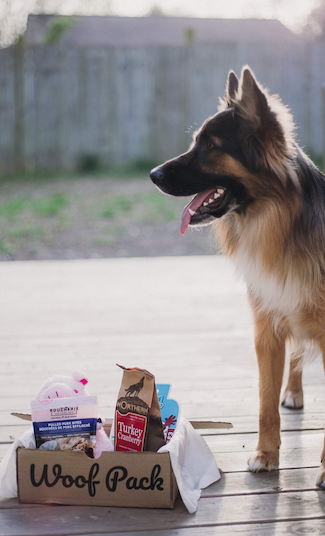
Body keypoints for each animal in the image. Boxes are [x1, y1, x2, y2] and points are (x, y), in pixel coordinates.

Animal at [150, 67, 325, 486]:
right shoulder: (267, 327)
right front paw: (266, 455)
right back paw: (293, 391)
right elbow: (265, 403)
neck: (279, 223)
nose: (152, 174)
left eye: (211, 146)